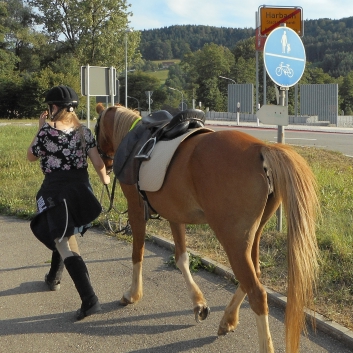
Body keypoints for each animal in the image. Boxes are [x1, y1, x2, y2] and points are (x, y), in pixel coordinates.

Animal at [95, 103, 318, 350]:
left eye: (95, 128)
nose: (103, 163)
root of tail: (261, 148)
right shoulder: (175, 216)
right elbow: (181, 258)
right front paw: (198, 303)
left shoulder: (135, 210)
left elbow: (137, 253)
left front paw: (133, 294)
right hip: (252, 235)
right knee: (254, 275)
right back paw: (228, 319)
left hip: (232, 240)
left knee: (257, 293)